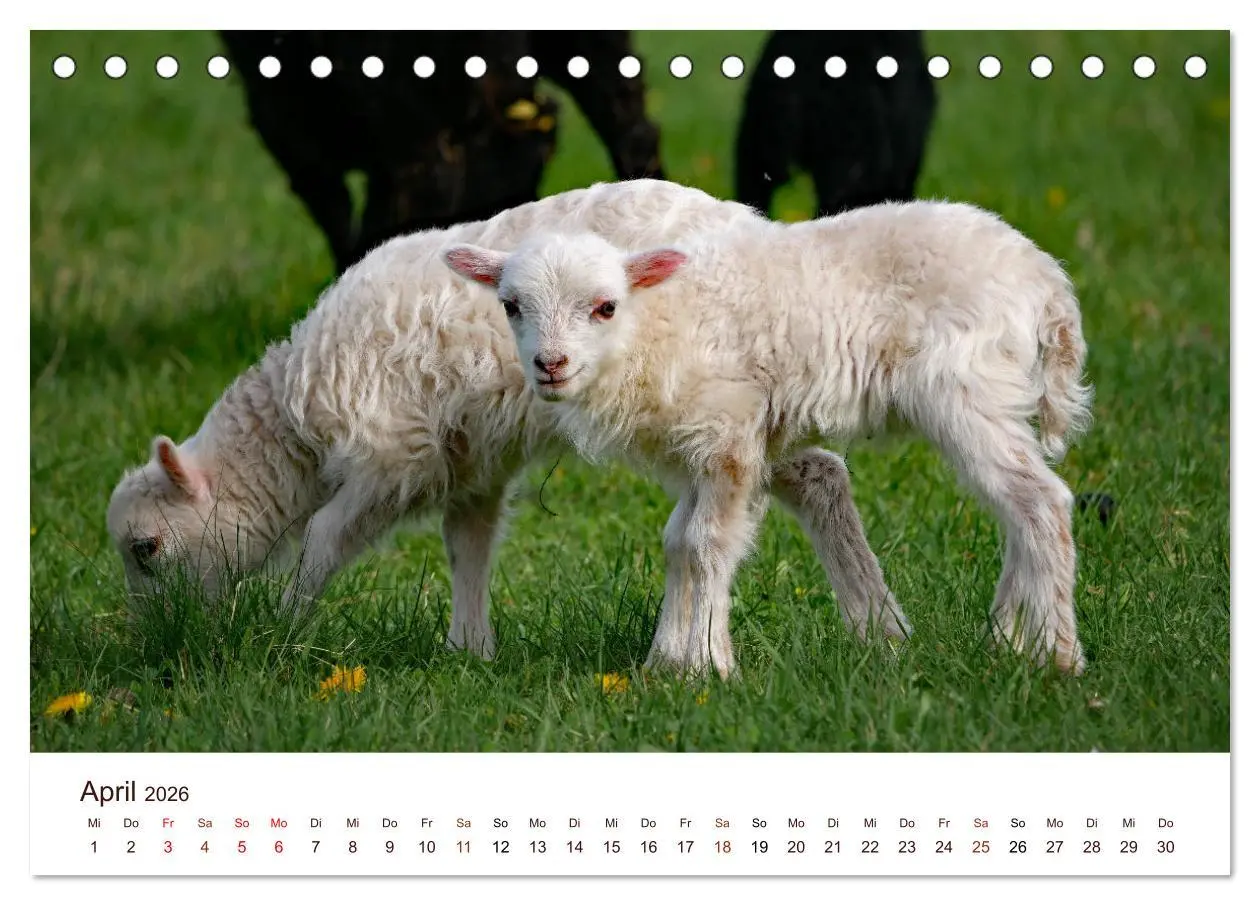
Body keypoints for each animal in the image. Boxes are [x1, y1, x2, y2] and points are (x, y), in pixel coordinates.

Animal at [106, 179, 910, 667]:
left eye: (146, 548)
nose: (156, 642)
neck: (293, 427)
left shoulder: (394, 455)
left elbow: (324, 540)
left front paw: (283, 627)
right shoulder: (470, 460)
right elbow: (467, 545)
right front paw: (470, 649)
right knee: (817, 474)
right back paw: (881, 627)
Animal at [442, 200, 1093, 678]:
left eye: (605, 307)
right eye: (511, 305)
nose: (550, 365)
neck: (652, 327)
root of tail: (1049, 284)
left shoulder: (730, 429)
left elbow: (706, 542)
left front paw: (709, 666)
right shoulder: (695, 447)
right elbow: (678, 542)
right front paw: (665, 663)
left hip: (966, 389)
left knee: (1041, 501)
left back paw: (1059, 656)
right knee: (1018, 507)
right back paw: (1007, 640)